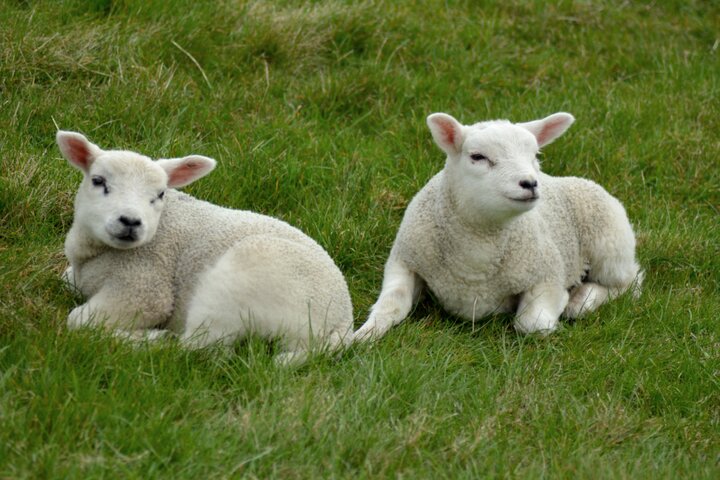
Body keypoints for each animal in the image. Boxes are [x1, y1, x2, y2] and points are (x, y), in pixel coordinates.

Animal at [58, 131, 354, 364]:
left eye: (160, 194)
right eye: (98, 181)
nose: (131, 221)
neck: (94, 254)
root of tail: (343, 319)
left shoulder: (144, 287)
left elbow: (77, 320)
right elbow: (65, 280)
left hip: (237, 283)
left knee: (200, 348)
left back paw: (154, 340)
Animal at [358, 111, 644, 342]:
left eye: (535, 156)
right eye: (478, 157)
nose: (530, 183)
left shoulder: (548, 273)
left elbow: (532, 324)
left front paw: (564, 301)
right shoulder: (404, 261)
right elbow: (392, 304)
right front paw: (363, 335)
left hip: (610, 247)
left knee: (630, 282)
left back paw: (581, 300)